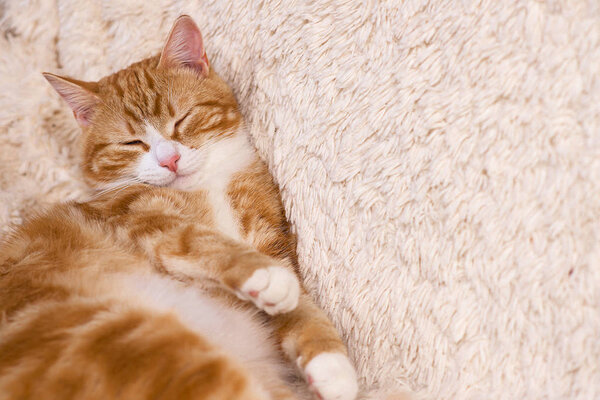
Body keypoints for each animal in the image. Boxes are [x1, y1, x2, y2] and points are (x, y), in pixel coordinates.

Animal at [0, 14, 356, 400]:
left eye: (181, 120)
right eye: (132, 142)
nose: (169, 160)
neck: (204, 188)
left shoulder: (267, 231)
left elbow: (301, 307)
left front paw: (330, 363)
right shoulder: (141, 218)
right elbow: (198, 240)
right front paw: (264, 274)